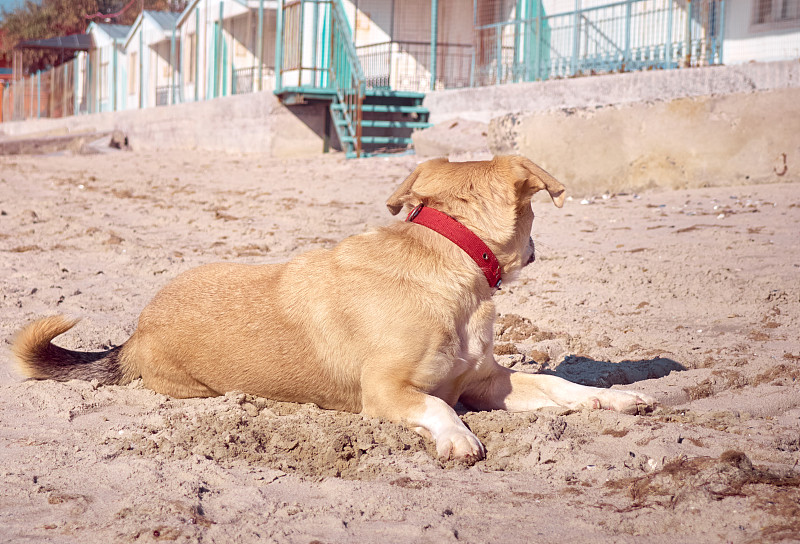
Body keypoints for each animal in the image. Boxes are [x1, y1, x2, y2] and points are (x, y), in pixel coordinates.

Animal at [12, 155, 652, 462]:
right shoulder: (388, 393)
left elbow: (561, 386)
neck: (449, 260)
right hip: (195, 386)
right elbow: (439, 408)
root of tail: (135, 334)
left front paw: (617, 399)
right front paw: (458, 438)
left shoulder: (487, 382)